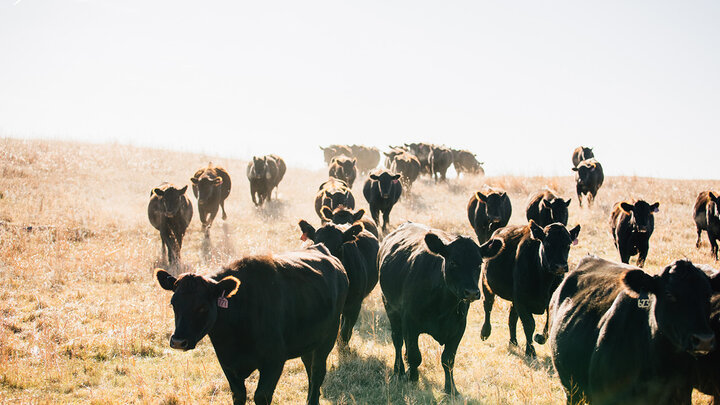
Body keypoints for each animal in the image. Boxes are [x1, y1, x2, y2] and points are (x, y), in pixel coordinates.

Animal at [155, 243, 348, 405]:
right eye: (173, 303)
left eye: (202, 307)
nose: (178, 341)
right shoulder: (228, 364)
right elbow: (239, 395)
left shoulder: (274, 361)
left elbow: (261, 396)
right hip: (308, 341)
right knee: (309, 366)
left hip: (328, 338)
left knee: (317, 372)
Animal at [378, 222, 503, 395]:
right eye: (453, 262)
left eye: (479, 264)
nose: (471, 292)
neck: (444, 305)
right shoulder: (410, 322)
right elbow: (415, 355)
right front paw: (412, 377)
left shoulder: (459, 328)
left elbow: (448, 359)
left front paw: (451, 388)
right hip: (390, 307)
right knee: (397, 340)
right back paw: (399, 369)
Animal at [481, 220, 581, 357]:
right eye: (547, 243)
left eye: (568, 244)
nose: (560, 266)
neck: (544, 281)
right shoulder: (521, 301)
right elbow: (529, 324)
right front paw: (531, 351)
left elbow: (548, 324)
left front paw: (539, 338)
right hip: (486, 286)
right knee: (488, 306)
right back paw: (485, 332)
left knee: (512, 317)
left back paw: (513, 341)